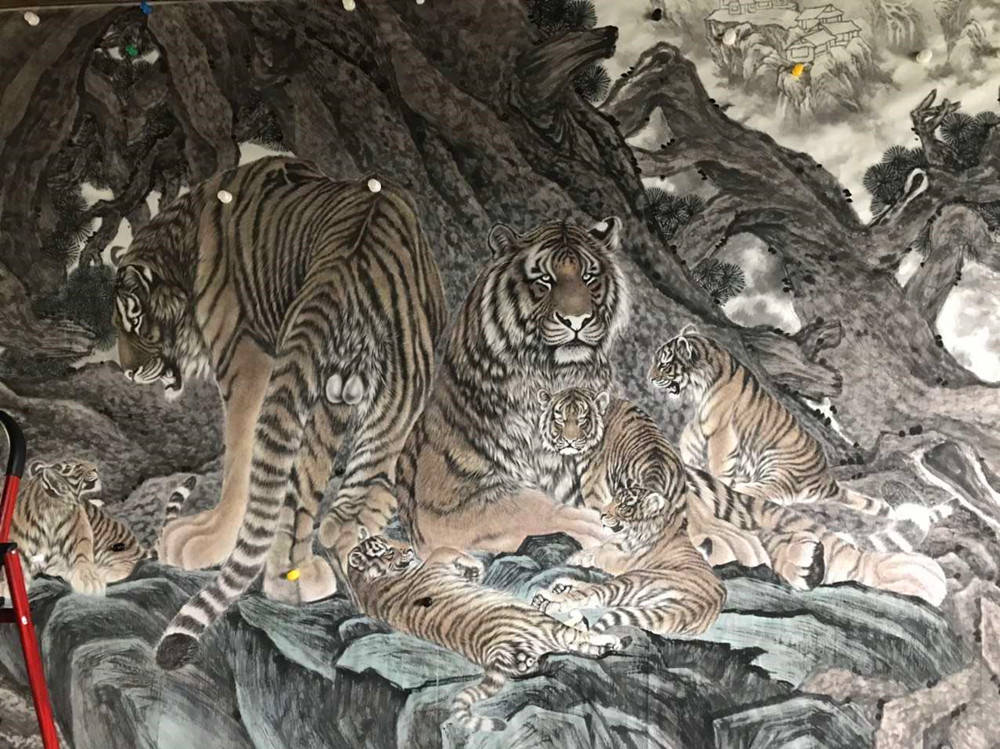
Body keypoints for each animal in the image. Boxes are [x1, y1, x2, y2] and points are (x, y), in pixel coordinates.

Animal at [109, 157, 446, 670]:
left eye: (133, 318)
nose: (126, 371)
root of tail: (346, 265)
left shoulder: (244, 357)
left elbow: (240, 458)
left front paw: (206, 540)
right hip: (371, 392)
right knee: (333, 495)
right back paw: (308, 567)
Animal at [346, 528, 622, 733]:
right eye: (388, 551)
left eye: (391, 540)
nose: (409, 549)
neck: (363, 583)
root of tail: (495, 653)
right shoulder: (435, 563)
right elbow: (442, 549)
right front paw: (475, 567)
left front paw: (473, 571)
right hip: (538, 620)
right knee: (575, 637)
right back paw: (610, 638)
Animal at [396, 217, 629, 559]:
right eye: (545, 280)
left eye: (589, 277)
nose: (578, 320)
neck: (559, 376)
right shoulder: (444, 496)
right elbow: (524, 508)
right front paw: (591, 528)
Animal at [648, 328, 890, 516]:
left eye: (664, 364)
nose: (649, 378)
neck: (702, 387)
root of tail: (826, 479)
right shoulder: (703, 421)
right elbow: (689, 436)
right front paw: (689, 460)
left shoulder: (722, 429)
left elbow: (718, 460)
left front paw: (713, 480)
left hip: (780, 467)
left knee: (768, 492)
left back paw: (738, 486)